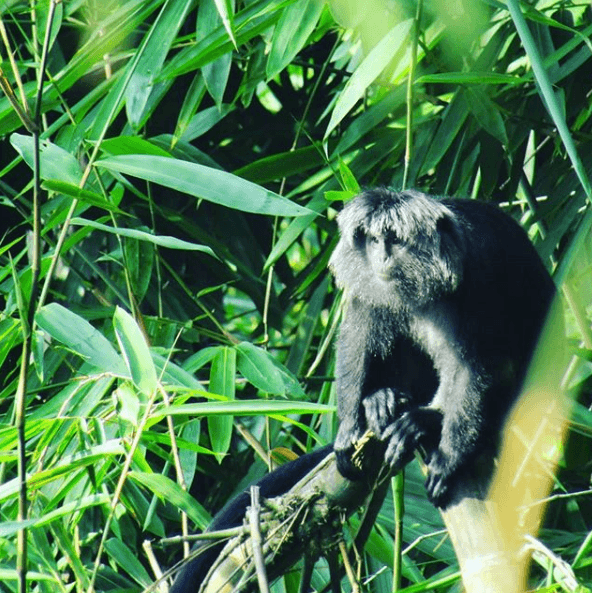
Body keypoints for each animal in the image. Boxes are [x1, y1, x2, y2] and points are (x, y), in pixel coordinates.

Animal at [328, 187, 556, 506]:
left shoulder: (478, 277)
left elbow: (477, 366)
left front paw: (448, 457)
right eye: (373, 241)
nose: (381, 257)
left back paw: (427, 421)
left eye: (395, 240)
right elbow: (359, 331)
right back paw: (381, 398)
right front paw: (348, 430)